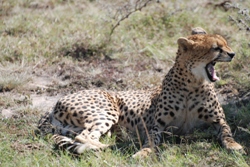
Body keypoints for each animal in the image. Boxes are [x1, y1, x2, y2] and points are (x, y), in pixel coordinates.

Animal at [38, 27, 243, 157]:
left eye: (226, 44)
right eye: (216, 48)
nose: (232, 54)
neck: (192, 84)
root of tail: (54, 106)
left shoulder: (218, 120)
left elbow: (227, 133)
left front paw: (235, 146)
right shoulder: (156, 125)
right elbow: (150, 140)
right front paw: (142, 152)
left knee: (80, 136)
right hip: (106, 110)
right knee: (85, 136)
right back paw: (109, 147)